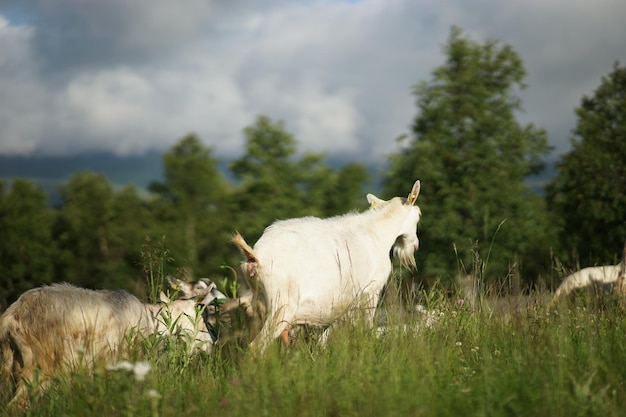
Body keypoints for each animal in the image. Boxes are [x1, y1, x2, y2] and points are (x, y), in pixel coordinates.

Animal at [0, 276, 224, 406]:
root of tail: (13, 316)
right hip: (39, 369)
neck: (152, 323)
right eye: (203, 313)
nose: (212, 343)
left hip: (8, 369)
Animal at [230, 179, 420, 352]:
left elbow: (324, 337)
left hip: (255, 307)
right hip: (281, 307)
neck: (376, 233)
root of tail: (256, 257)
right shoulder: (370, 292)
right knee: (256, 347)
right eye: (418, 215)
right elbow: (366, 328)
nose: (415, 246)